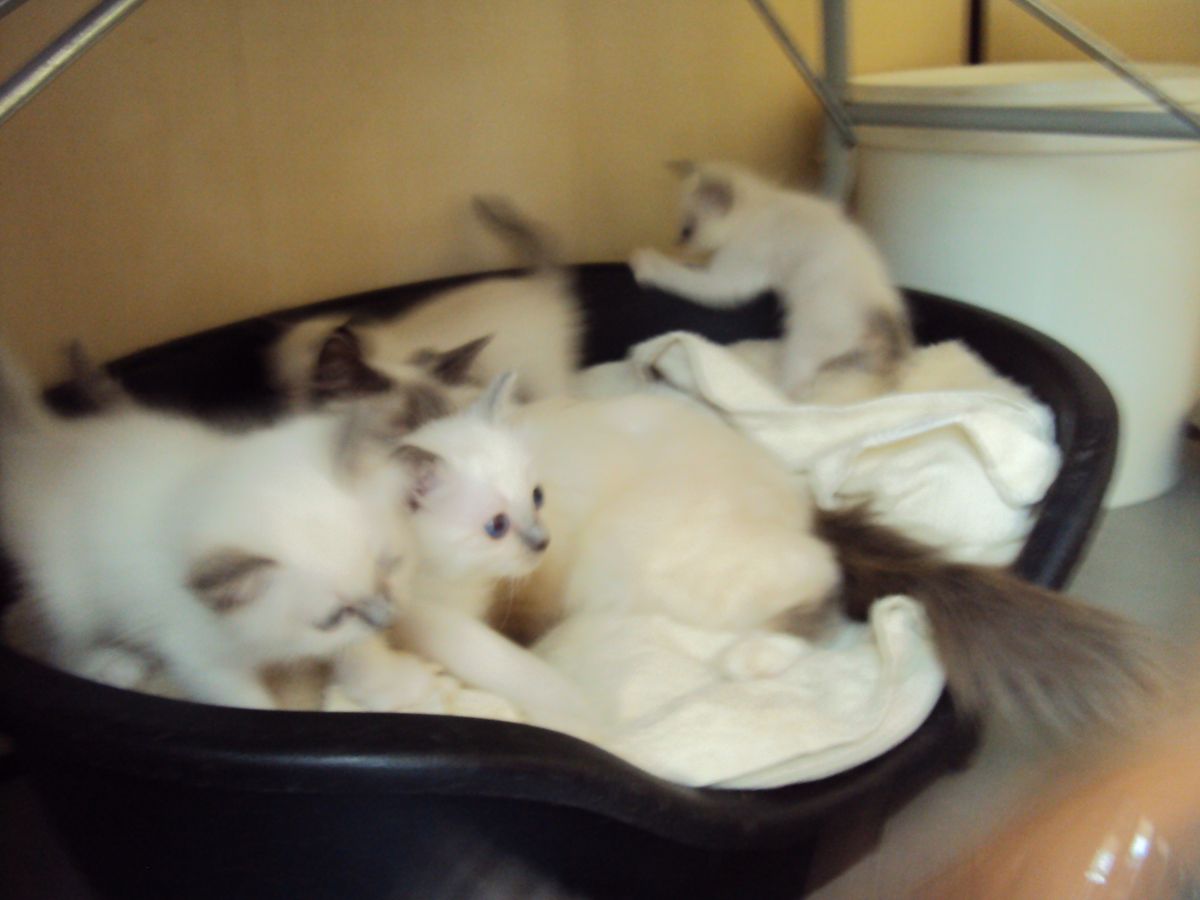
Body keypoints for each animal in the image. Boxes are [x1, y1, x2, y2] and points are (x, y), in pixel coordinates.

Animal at [0, 341, 424, 709]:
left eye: (391, 565)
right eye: (335, 617)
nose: (388, 618)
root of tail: (45, 443)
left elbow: (358, 650)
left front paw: (390, 684)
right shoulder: (196, 654)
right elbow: (243, 702)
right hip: (71, 597)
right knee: (60, 643)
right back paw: (110, 665)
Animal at [505, 391, 1162, 738]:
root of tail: (799, 501)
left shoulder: (533, 574)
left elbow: (517, 626)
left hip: (657, 556)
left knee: (822, 579)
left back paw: (754, 657)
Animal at [630, 160, 913, 403]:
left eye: (688, 230)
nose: (678, 240)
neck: (757, 204)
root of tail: (879, 305)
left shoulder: (730, 277)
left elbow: (685, 277)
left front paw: (647, 263)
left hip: (802, 336)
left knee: (795, 393)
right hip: (861, 351)